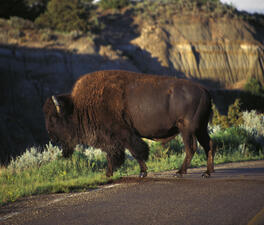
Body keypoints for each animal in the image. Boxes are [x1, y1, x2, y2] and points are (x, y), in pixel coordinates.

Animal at [43, 70, 214, 178]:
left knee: (191, 148)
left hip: (187, 129)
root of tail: (204, 90)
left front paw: (141, 172)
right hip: (201, 129)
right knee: (208, 145)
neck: (78, 107)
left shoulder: (122, 134)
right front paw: (108, 174)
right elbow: (116, 155)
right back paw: (207, 172)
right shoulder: (114, 139)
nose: (52, 137)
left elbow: (134, 152)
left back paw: (180, 172)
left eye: (54, 118)